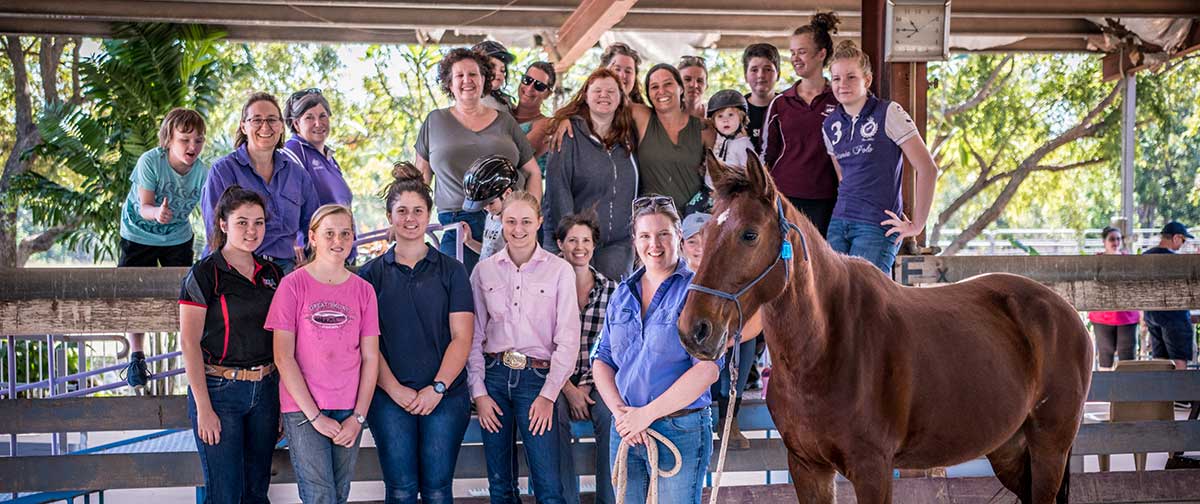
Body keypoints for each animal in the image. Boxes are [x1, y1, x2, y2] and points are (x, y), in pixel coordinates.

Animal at [681, 153, 1094, 504]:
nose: (694, 329)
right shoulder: (807, 467)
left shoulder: (873, 469)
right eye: (706, 235)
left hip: (1049, 447)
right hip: (1010, 449)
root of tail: (1065, 311)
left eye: (749, 234)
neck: (826, 347)